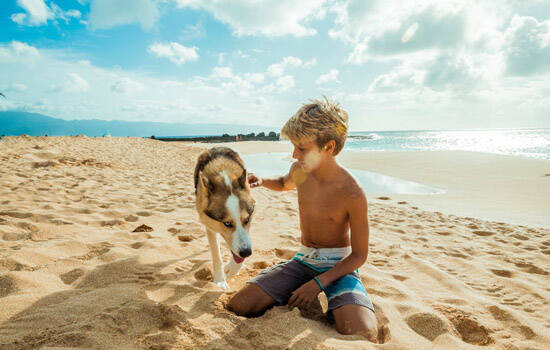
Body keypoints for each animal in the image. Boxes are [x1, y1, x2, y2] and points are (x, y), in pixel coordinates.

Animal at [195, 146, 256, 288]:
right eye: (227, 223)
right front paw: (220, 280)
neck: (224, 177)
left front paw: (233, 269)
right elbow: (216, 255)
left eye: (246, 220)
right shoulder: (209, 225)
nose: (247, 252)